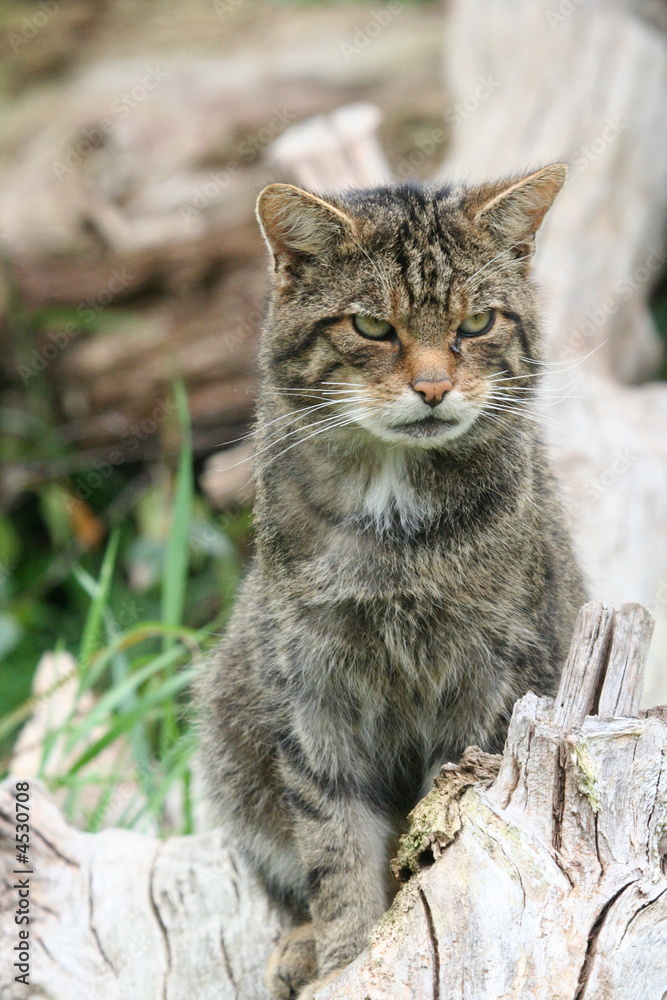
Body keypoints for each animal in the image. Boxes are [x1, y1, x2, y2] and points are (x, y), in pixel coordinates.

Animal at [196, 168, 588, 996]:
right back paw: (298, 946)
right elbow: (337, 849)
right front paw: (347, 959)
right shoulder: (311, 688)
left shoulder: (489, 683)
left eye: (477, 322)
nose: (434, 388)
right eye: (372, 328)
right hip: (228, 719)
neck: (393, 529)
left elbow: (438, 834)